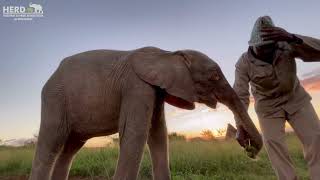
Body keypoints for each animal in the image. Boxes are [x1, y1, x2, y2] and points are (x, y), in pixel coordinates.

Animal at [28, 46, 262, 180]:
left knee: (70, 148)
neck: (168, 54)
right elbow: (135, 133)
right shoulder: (136, 85)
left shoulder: (156, 89)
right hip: (55, 99)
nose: (248, 148)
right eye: (214, 76)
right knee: (51, 143)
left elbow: (158, 135)